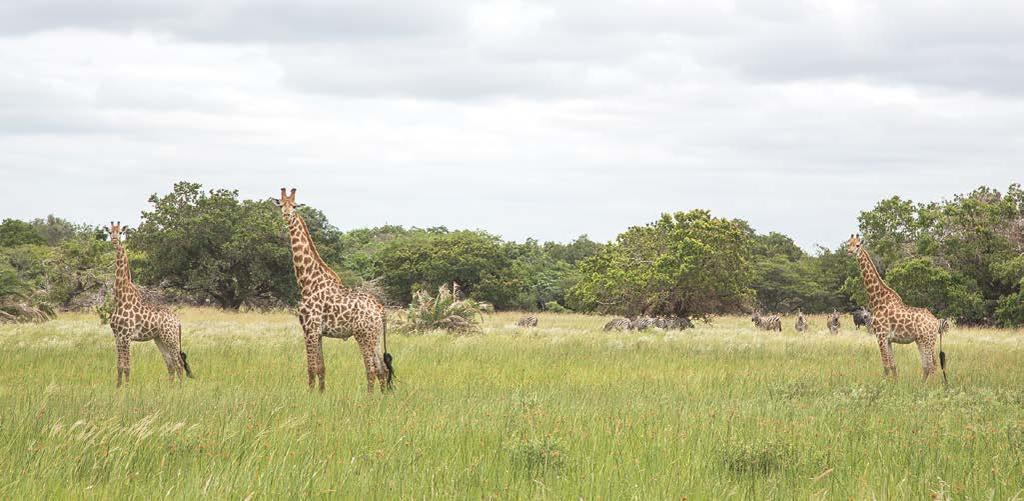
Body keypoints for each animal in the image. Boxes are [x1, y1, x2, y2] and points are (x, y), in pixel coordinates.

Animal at [107, 219, 191, 387]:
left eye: (120, 232)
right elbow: (119, 366)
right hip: (159, 339)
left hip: (170, 337)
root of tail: (178, 322)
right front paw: (118, 388)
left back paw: (180, 388)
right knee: (170, 364)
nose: (114, 240)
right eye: (109, 232)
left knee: (178, 363)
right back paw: (170, 388)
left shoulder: (126, 336)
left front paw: (127, 388)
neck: (120, 298)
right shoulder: (117, 335)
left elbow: (127, 366)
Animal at [274, 186, 393, 391]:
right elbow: (321, 368)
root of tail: (380, 310)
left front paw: (309, 395)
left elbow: (311, 368)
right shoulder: (319, 333)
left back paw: (369, 398)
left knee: (371, 370)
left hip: (364, 335)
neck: (308, 283)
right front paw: (321, 394)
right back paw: (384, 397)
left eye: (295, 206)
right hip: (376, 336)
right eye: (281, 204)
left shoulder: (310, 329)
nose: (287, 215)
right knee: (382, 370)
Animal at [843, 233, 946, 379]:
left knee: (932, 365)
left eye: (857, 245)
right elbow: (893, 365)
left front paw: (884, 384)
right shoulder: (888, 339)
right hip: (920, 340)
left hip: (928, 340)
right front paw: (895, 382)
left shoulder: (880, 336)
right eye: (848, 243)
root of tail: (936, 322)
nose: (849, 252)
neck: (878, 301)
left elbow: (886, 365)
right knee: (927, 365)